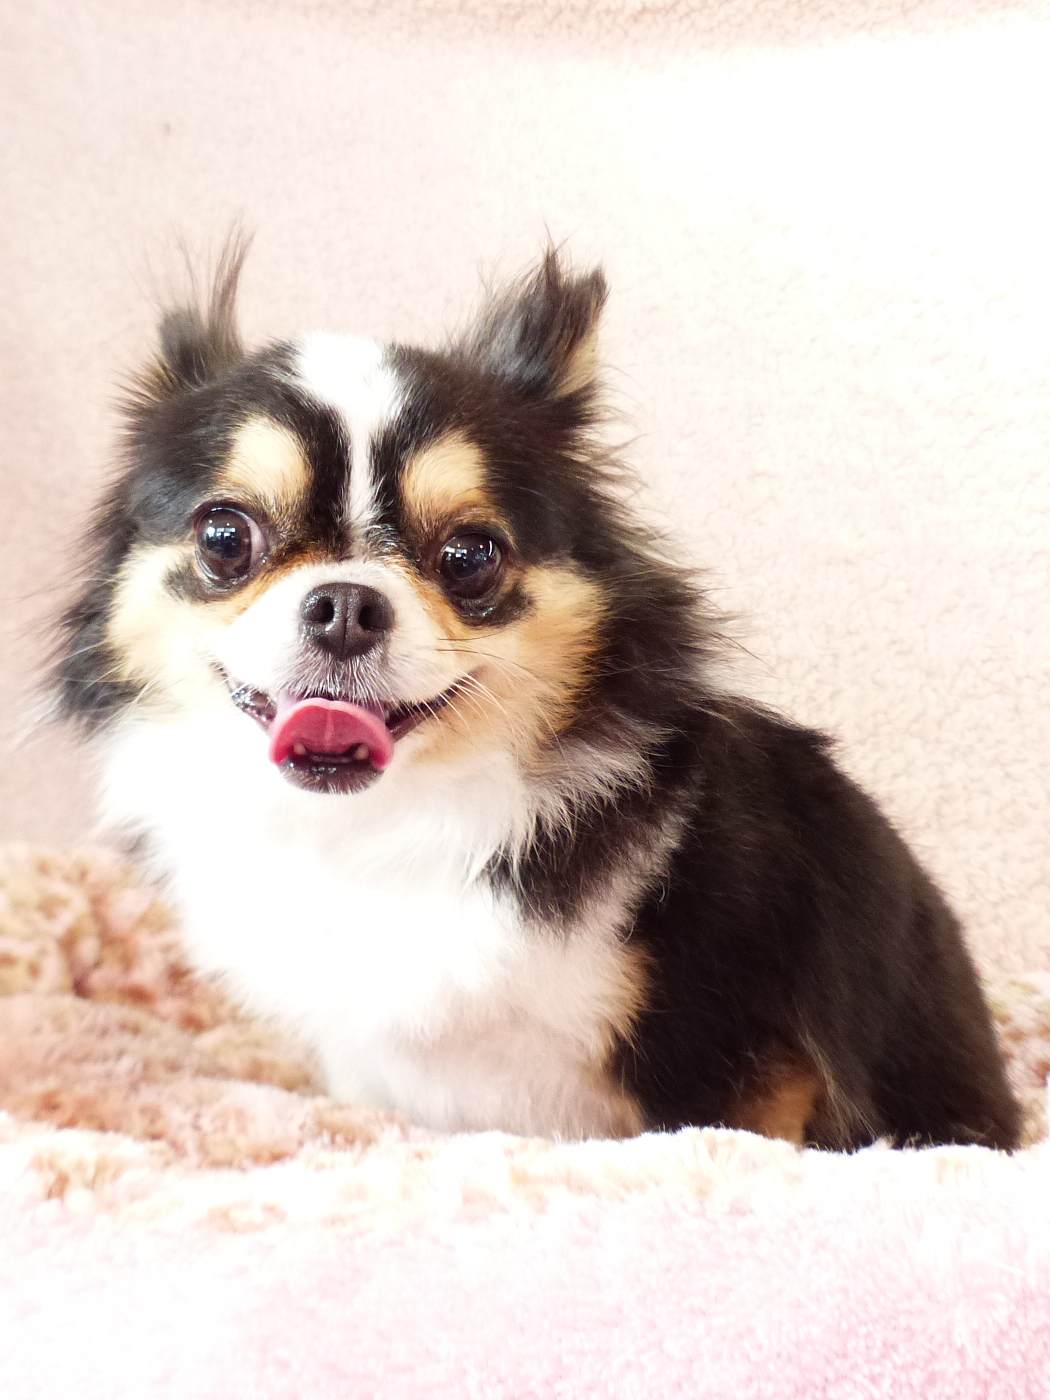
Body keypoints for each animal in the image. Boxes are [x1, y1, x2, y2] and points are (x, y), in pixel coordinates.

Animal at [53, 241, 1021, 1149]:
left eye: (470, 556)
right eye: (225, 538)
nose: (345, 605)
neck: (382, 824)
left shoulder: (736, 1061)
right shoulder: (378, 1077)